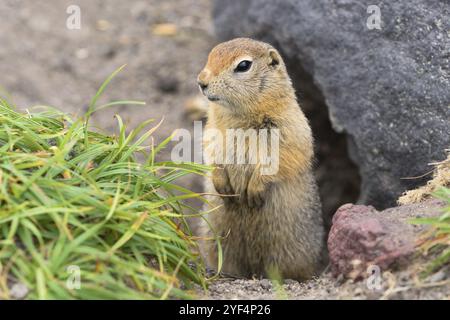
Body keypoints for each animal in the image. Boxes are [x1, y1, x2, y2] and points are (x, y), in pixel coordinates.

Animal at [197, 37, 326, 280]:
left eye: (243, 65)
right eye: (211, 54)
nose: (201, 82)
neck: (239, 115)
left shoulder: (287, 129)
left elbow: (281, 158)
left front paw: (254, 190)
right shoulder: (212, 129)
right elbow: (211, 153)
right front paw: (222, 184)